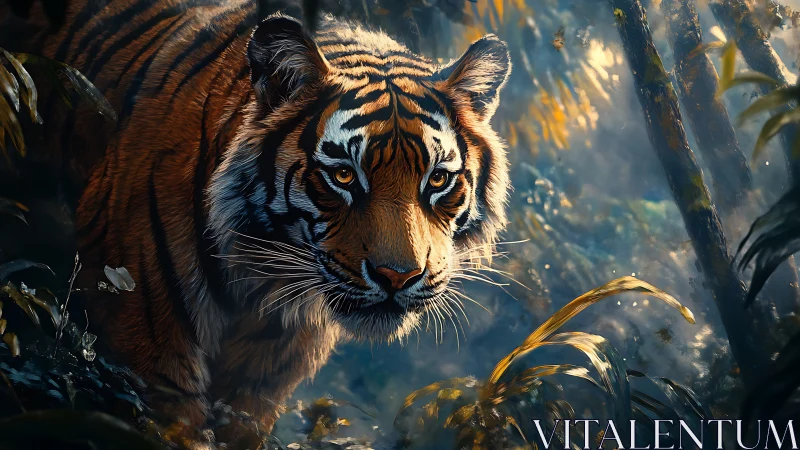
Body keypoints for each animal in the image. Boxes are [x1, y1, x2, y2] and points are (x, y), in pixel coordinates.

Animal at [1, 0, 511, 433]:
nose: (398, 277)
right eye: (344, 175)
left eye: (438, 179)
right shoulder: (149, 350)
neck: (261, 276)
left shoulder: (262, 382)